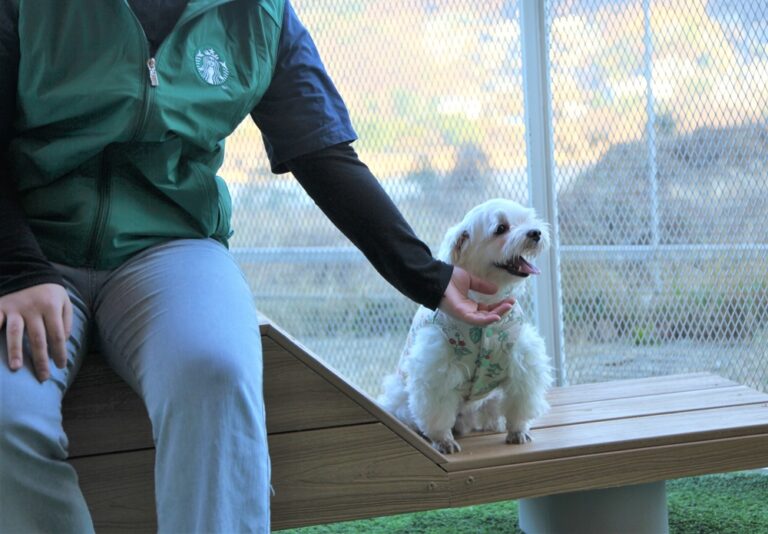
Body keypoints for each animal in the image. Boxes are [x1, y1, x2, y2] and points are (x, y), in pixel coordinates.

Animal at [378, 199, 553, 454]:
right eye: (501, 228)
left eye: (527, 220)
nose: (536, 232)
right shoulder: (436, 369)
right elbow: (437, 412)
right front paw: (443, 440)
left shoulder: (523, 363)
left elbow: (520, 403)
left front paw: (517, 430)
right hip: (400, 395)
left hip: (490, 399)